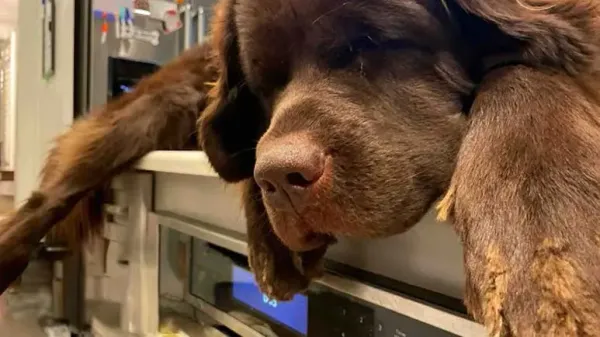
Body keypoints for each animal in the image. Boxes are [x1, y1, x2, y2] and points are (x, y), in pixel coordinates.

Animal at [200, 0, 600, 332]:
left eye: (369, 44)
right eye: (266, 86)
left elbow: (523, 73)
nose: (281, 178)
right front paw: (271, 246)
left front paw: (540, 261)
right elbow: (252, 150)